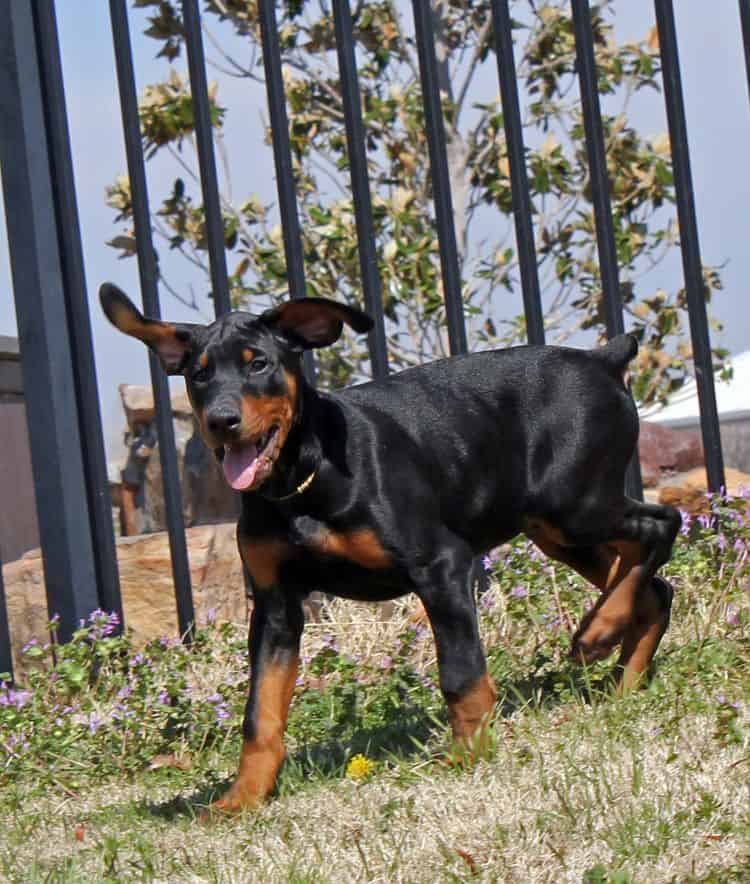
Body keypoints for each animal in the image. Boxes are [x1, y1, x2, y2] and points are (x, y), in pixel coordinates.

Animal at [100, 284, 680, 816]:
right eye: (199, 375)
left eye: (258, 363)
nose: (221, 421)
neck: (302, 481)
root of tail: (601, 359)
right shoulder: (275, 607)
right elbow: (259, 715)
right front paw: (241, 799)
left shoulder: (442, 566)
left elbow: (462, 675)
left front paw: (468, 756)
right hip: (554, 527)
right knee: (653, 585)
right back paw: (620, 670)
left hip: (575, 504)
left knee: (663, 525)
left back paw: (599, 629)